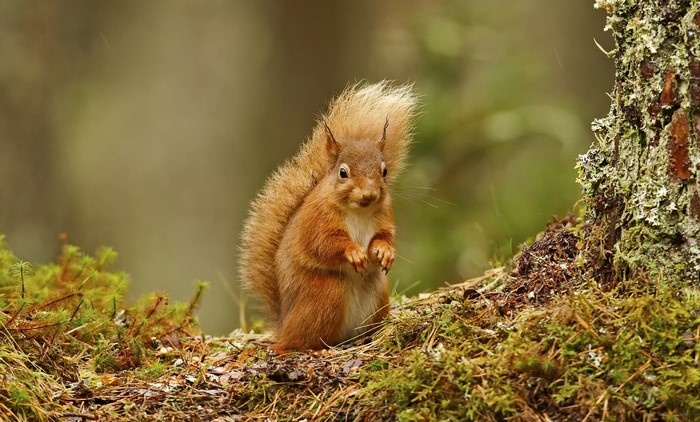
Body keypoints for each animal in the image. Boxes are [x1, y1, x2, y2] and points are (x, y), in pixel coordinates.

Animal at [239, 82, 418, 350]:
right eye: (343, 173)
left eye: (384, 171)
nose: (369, 194)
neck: (359, 211)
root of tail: (284, 323)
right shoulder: (317, 219)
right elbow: (322, 244)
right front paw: (354, 252)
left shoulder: (384, 215)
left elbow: (385, 236)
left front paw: (385, 252)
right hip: (327, 295)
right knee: (299, 342)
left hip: (378, 295)